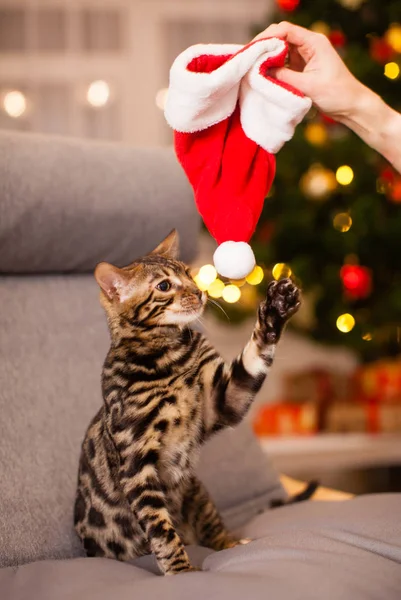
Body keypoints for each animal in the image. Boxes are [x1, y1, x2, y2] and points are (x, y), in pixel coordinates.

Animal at [74, 227, 300, 576]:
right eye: (164, 286)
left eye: (188, 273)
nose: (200, 292)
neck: (168, 356)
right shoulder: (137, 464)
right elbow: (160, 527)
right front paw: (180, 571)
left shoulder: (223, 401)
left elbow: (254, 357)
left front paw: (276, 309)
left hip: (196, 490)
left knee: (214, 528)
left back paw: (234, 544)